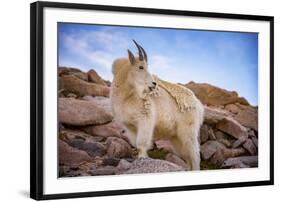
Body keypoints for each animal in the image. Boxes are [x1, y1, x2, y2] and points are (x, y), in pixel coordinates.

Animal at [109, 40, 203, 170]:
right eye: (141, 67)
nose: (153, 84)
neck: (127, 95)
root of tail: (198, 105)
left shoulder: (145, 119)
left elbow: (141, 144)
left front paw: (142, 160)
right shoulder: (129, 126)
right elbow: (136, 143)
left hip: (188, 131)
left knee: (195, 155)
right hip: (176, 137)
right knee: (187, 156)